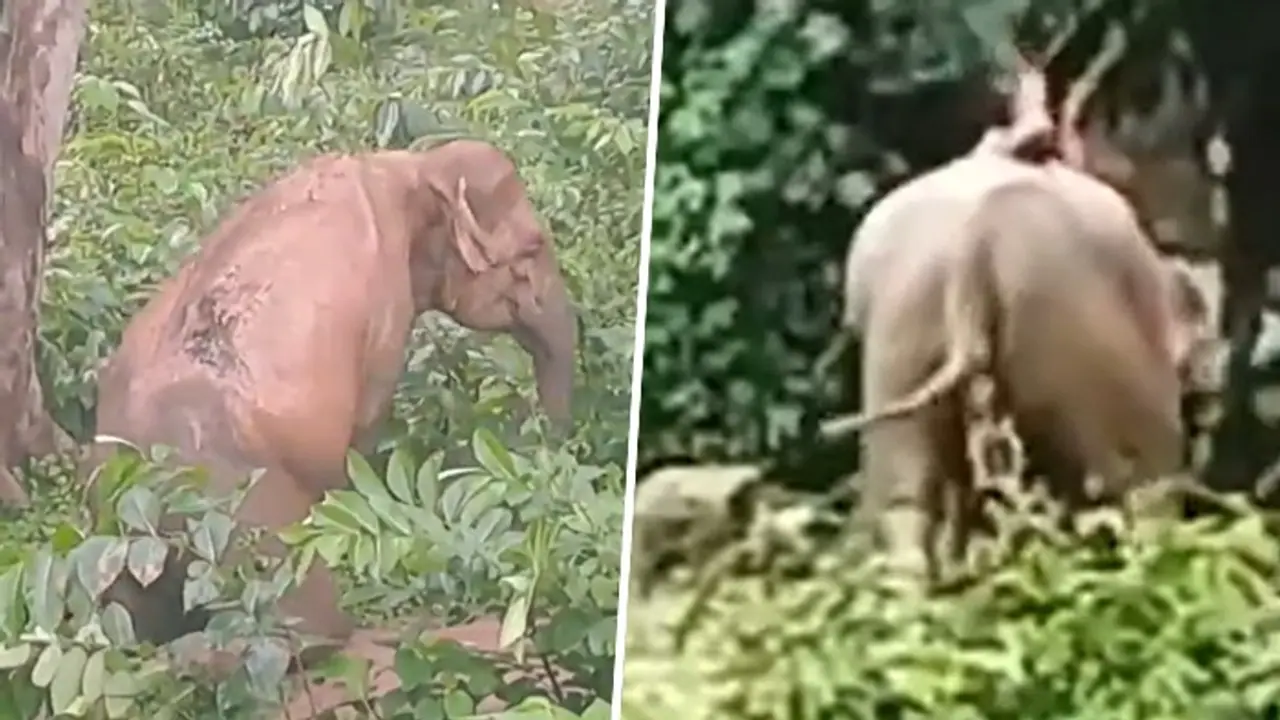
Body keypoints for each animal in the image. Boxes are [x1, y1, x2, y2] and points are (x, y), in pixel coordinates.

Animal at [83, 138, 578, 661]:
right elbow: (364, 424)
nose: (547, 448)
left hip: (113, 543)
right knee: (302, 623)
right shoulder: (386, 311)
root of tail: (136, 477)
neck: (412, 168)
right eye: (533, 247)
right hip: (236, 502)